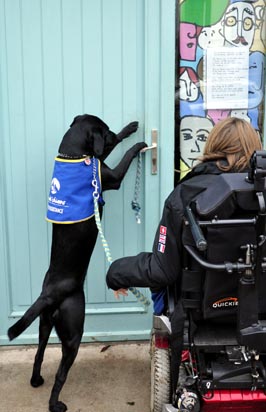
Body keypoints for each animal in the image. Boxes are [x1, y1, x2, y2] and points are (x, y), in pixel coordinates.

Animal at [7, 113, 145, 412]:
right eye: (103, 130)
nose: (112, 131)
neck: (72, 155)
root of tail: (49, 294)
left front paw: (128, 128)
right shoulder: (110, 176)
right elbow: (122, 153)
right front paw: (137, 142)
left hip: (44, 325)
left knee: (38, 353)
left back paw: (36, 380)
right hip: (73, 331)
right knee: (61, 373)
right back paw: (55, 404)